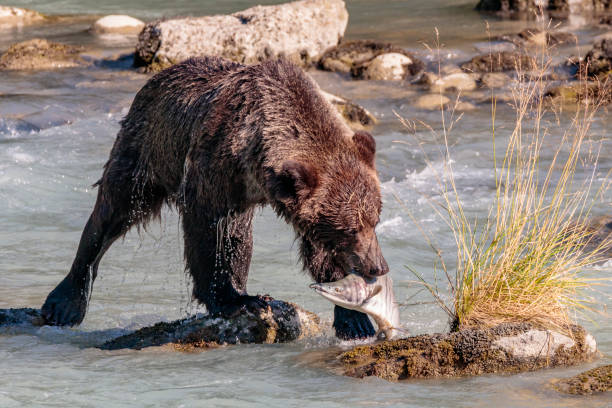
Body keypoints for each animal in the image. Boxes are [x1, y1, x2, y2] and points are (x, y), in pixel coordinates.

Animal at [41, 55, 388, 340]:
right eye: (350, 227)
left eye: (375, 219)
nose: (378, 267)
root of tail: (159, 75)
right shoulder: (217, 170)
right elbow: (213, 233)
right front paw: (235, 298)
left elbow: (308, 249)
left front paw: (355, 319)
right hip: (146, 152)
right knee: (112, 211)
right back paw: (64, 303)